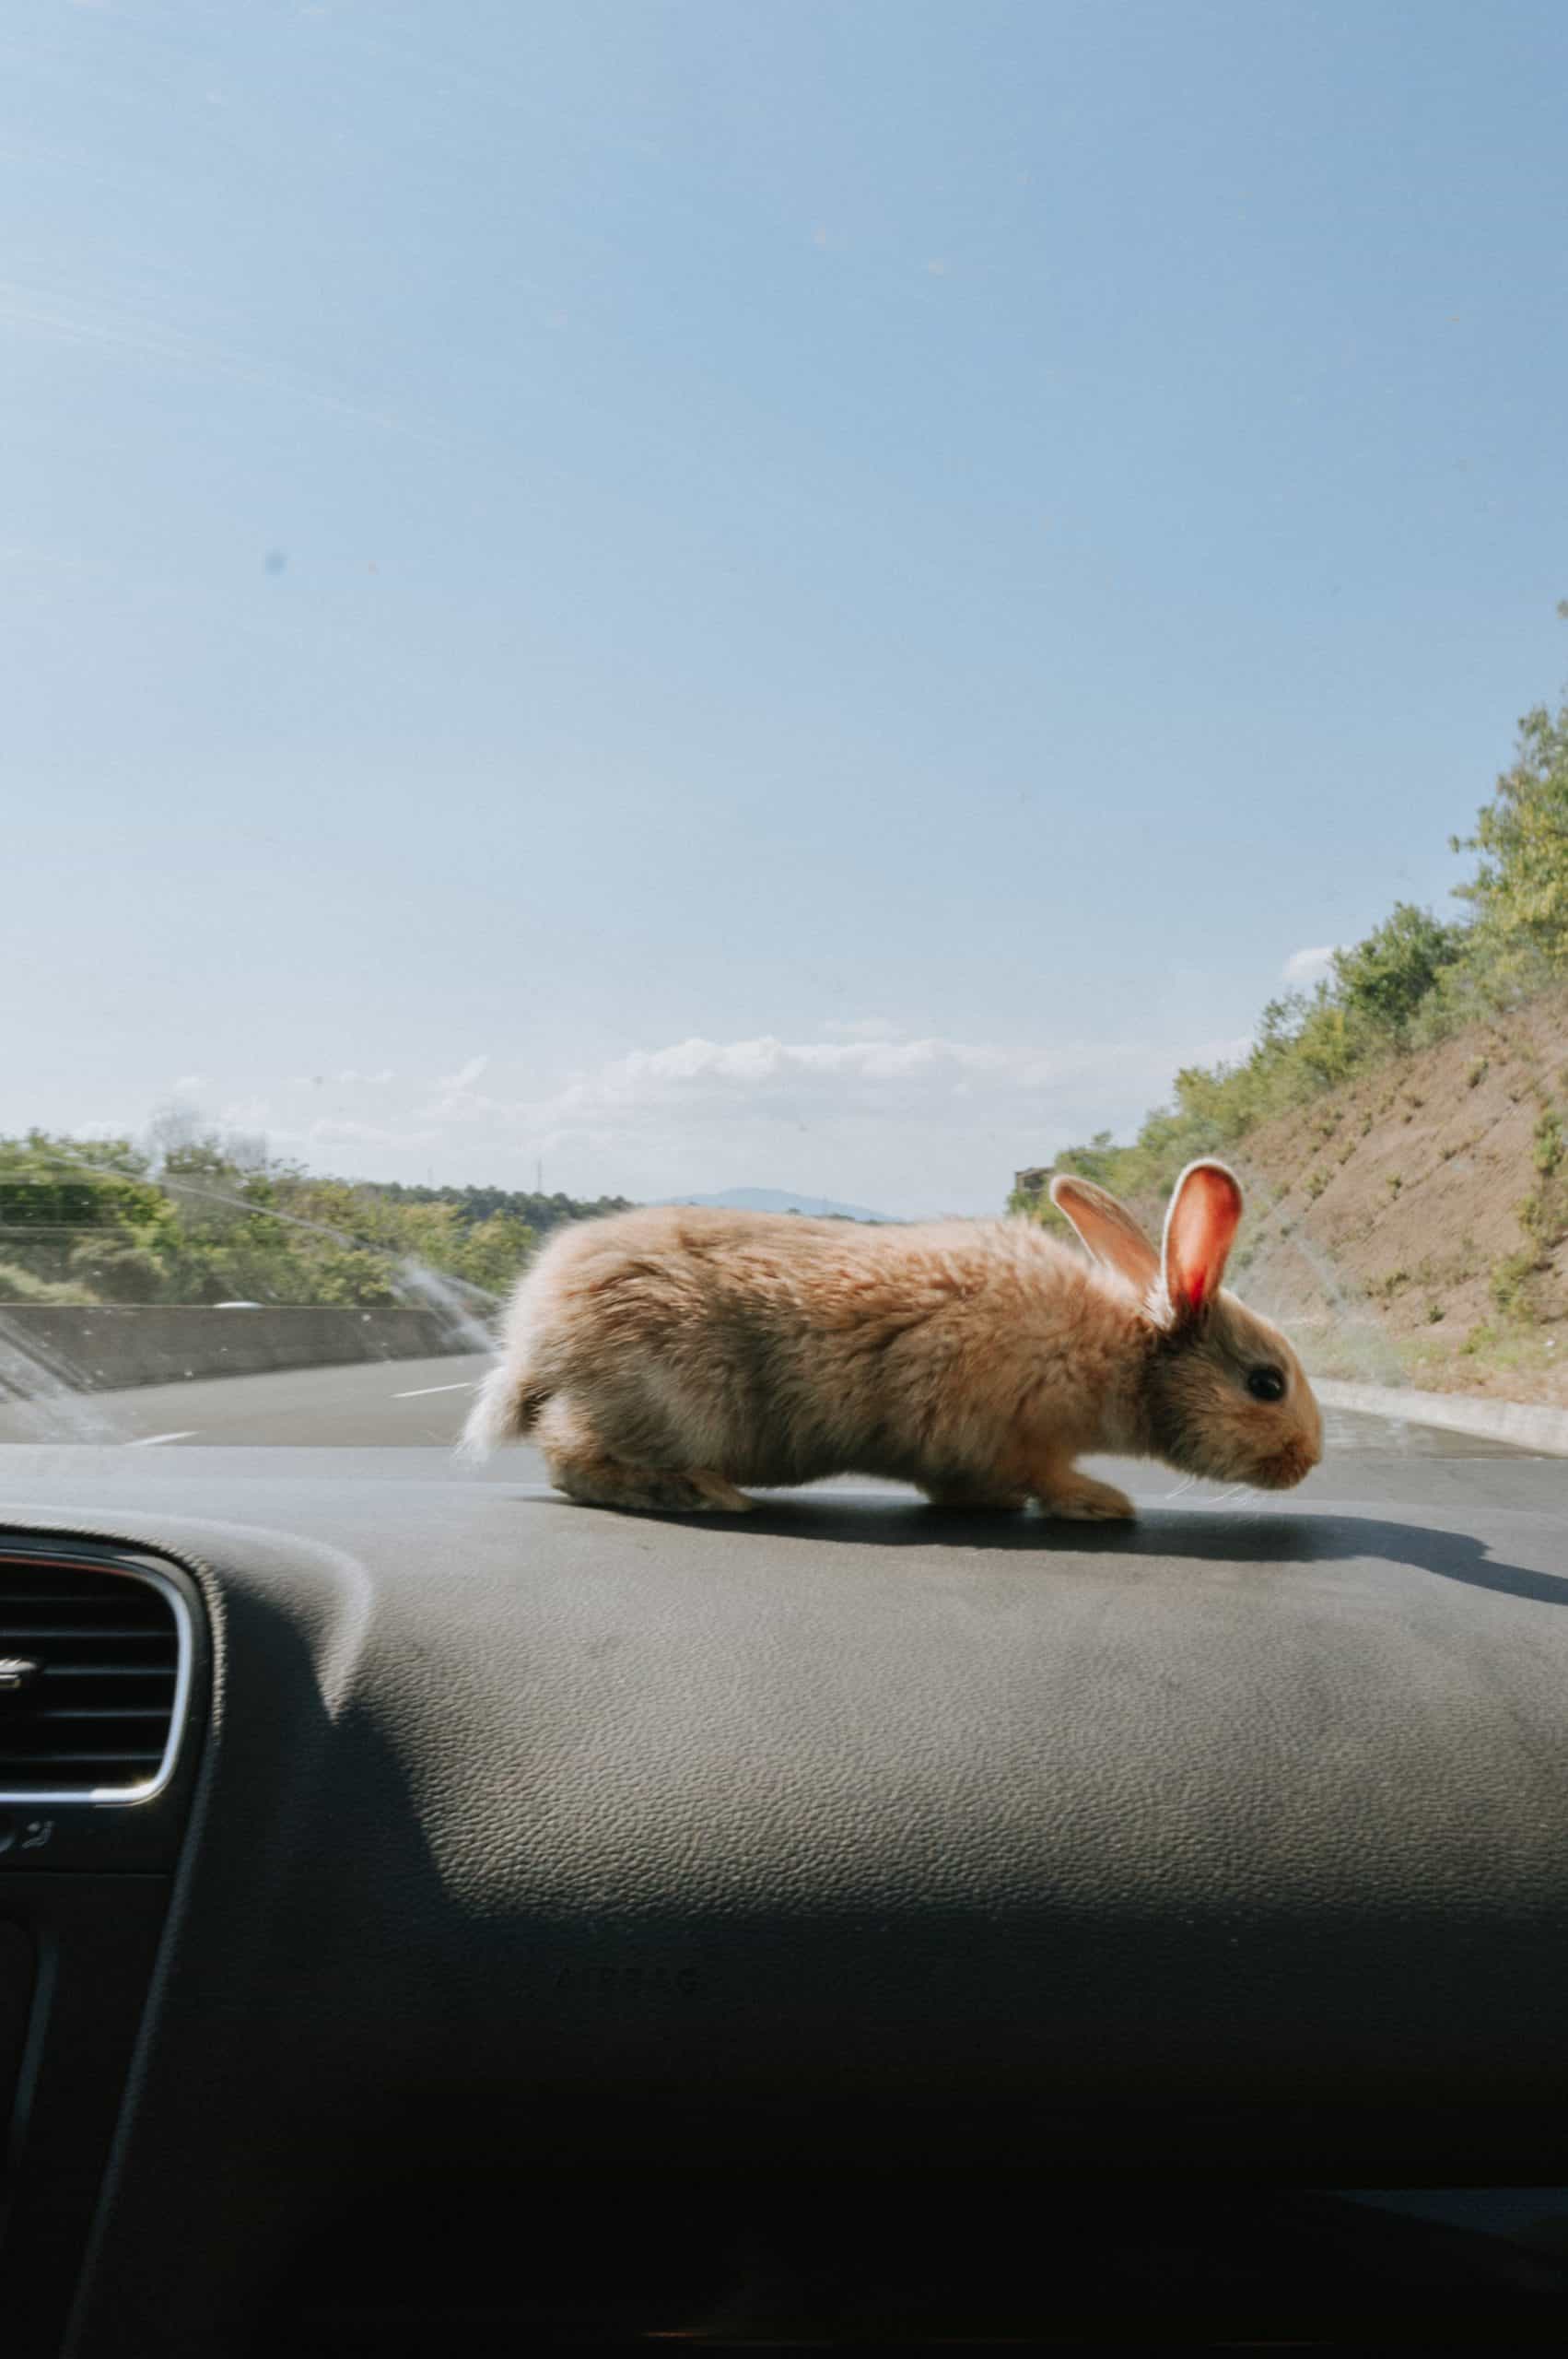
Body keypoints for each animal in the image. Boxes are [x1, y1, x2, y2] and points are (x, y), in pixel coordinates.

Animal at [459, 1158, 1322, 1518]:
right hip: (667, 1399)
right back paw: (698, 1493)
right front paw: (1103, 1504)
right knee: (571, 1459)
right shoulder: (1012, 1435)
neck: (1122, 1356)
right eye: (1266, 1383)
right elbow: (1043, 1479)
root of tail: (535, 1343)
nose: (1309, 1463)